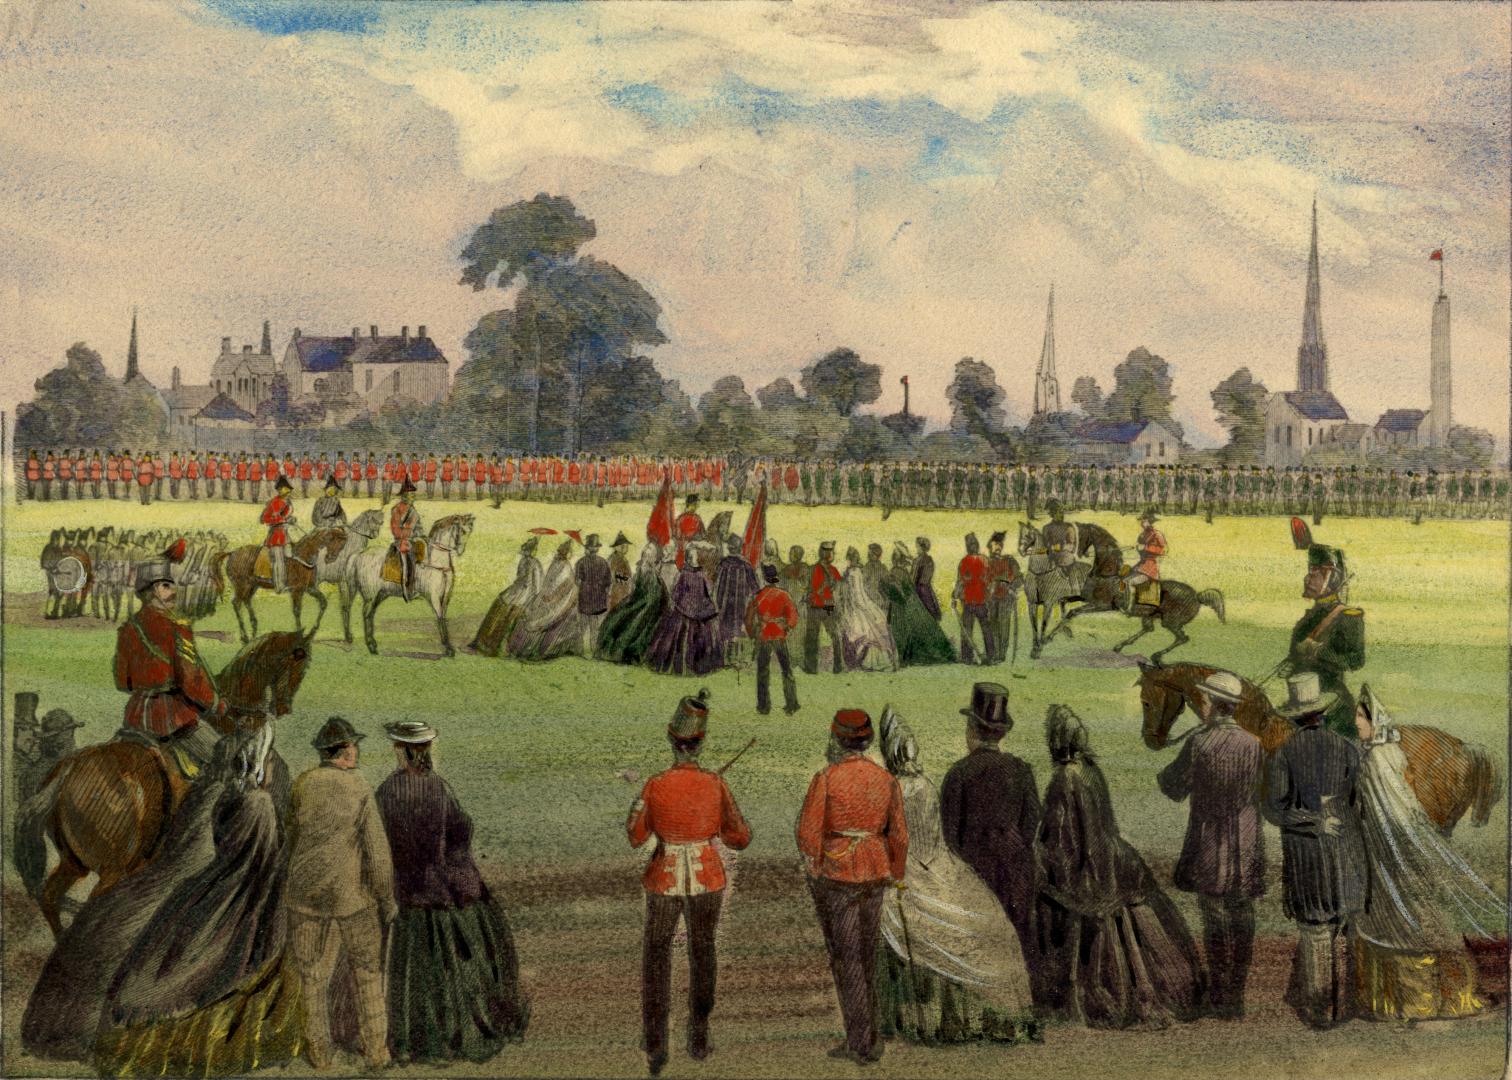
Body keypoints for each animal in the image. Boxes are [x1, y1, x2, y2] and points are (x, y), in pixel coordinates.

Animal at [18, 626, 312, 937]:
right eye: (299, 660)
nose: (284, 708)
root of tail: (67, 770)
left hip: (74, 862)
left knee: (51, 897)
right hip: (114, 869)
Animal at [213, 529, 346, 638]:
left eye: (342, 546)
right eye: (333, 541)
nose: (331, 558)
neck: (302, 556)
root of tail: (232, 553)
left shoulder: (310, 588)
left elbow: (323, 602)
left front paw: (313, 630)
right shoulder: (296, 590)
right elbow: (297, 611)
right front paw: (299, 633)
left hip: (252, 586)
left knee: (246, 601)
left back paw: (254, 627)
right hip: (242, 585)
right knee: (236, 603)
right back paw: (244, 636)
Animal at [344, 514, 471, 656]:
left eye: (469, 531)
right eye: (463, 531)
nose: (460, 551)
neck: (437, 562)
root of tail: (359, 554)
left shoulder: (445, 598)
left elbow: (443, 616)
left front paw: (447, 645)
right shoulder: (434, 597)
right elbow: (439, 617)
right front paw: (448, 648)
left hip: (379, 595)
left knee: (367, 614)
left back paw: (367, 642)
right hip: (370, 595)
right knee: (364, 614)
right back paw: (370, 646)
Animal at [1040, 520, 1227, 659]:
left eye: (1082, 536)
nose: (1078, 553)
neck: (1107, 572)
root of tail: (1197, 595)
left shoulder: (1101, 605)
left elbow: (1073, 612)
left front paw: (1048, 638)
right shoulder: (1086, 598)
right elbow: (1063, 602)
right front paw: (1064, 632)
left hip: (1170, 622)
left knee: (1182, 638)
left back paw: (1156, 655)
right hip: (1150, 615)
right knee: (1149, 629)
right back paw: (1120, 646)